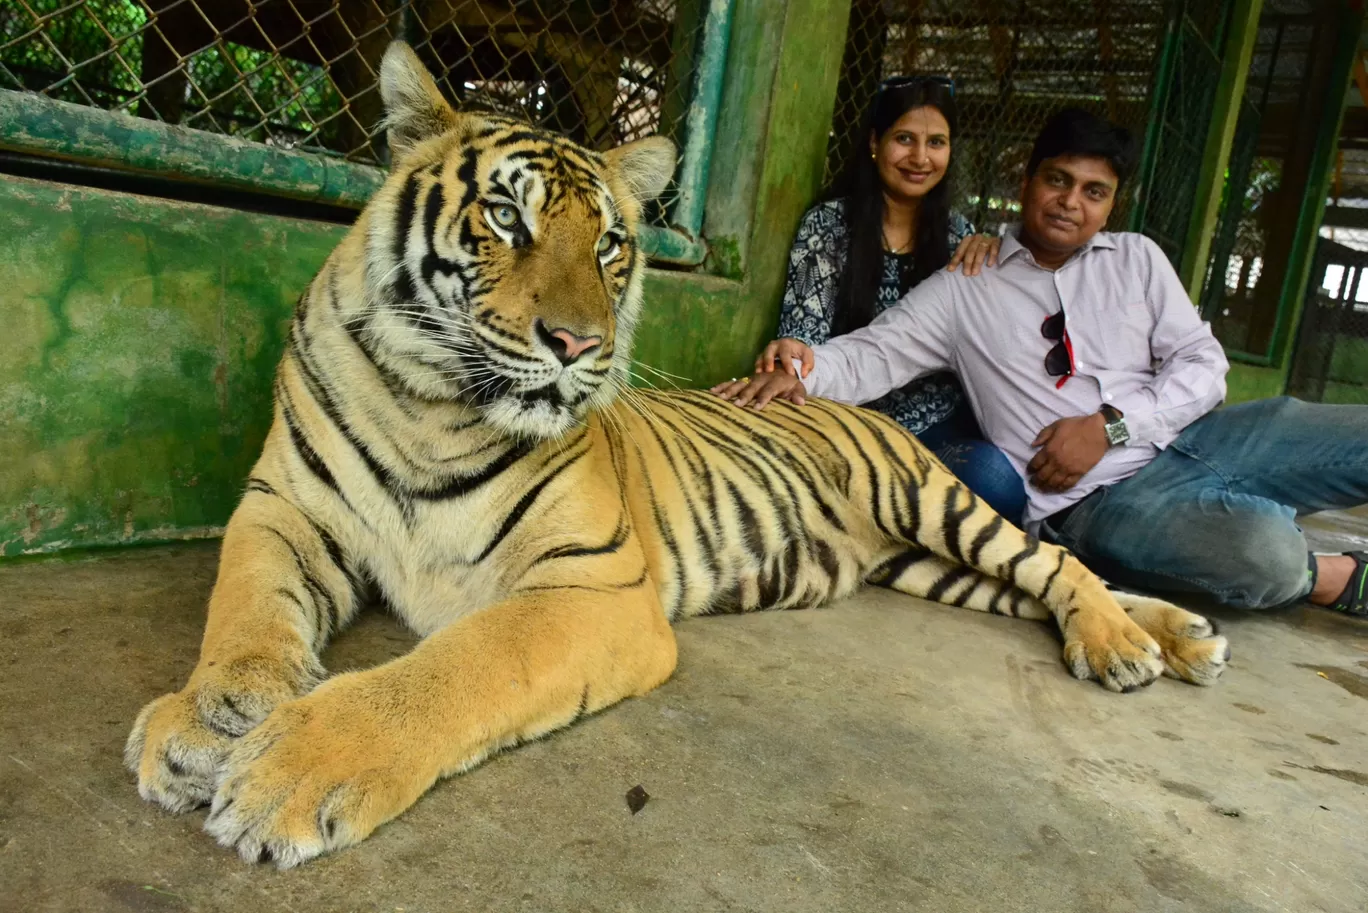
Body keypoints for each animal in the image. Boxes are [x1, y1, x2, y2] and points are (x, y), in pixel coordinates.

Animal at [125, 41, 1231, 870]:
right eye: (505, 216)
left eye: (611, 245)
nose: (579, 344)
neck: (429, 405)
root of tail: (862, 409)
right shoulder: (282, 506)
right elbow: (245, 608)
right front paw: (209, 718)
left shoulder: (591, 587)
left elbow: (455, 666)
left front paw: (293, 766)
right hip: (925, 567)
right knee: (1036, 586)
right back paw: (1177, 636)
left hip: (935, 505)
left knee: (1060, 563)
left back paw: (1133, 645)